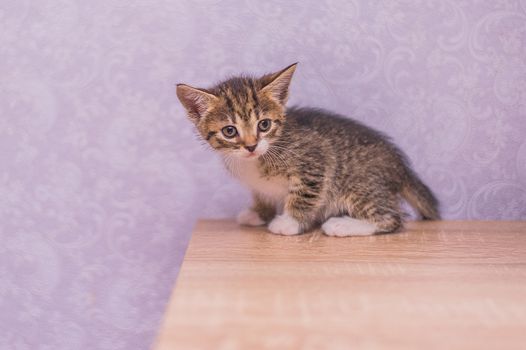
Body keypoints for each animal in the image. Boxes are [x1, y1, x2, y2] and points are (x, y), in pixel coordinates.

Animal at [177, 64, 442, 237]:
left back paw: (342, 225)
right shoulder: (258, 184)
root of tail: (400, 166)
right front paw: (259, 213)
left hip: (359, 183)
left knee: (392, 218)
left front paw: (289, 223)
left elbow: (304, 194)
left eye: (264, 125)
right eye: (230, 131)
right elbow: (262, 193)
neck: (258, 157)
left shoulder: (315, 159)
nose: (251, 145)